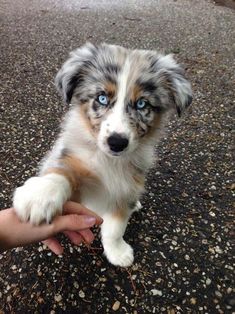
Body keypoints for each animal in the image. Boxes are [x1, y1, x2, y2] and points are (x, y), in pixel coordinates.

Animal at [13, 43, 193, 266]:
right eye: (102, 98)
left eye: (142, 104)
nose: (117, 143)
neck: (110, 161)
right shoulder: (76, 164)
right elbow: (63, 170)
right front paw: (41, 194)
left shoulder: (127, 187)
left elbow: (115, 228)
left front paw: (118, 253)